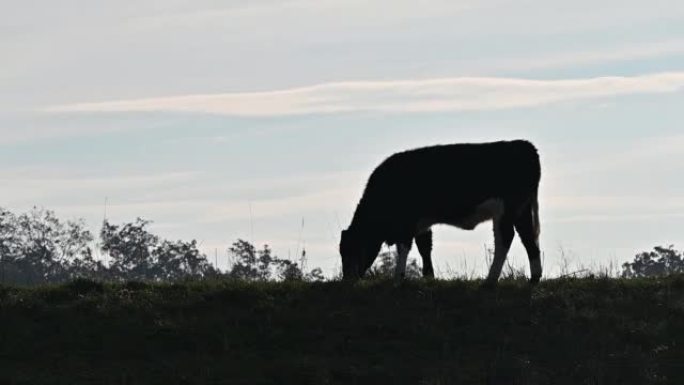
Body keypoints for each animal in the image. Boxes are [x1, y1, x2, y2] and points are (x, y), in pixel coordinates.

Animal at [340, 139, 544, 284]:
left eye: (352, 250)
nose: (347, 280)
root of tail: (525, 145)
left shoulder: (406, 223)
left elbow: (404, 247)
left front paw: (398, 277)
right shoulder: (421, 223)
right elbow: (424, 247)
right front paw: (429, 277)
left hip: (507, 209)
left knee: (505, 238)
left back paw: (490, 280)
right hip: (521, 210)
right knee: (527, 237)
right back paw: (534, 278)